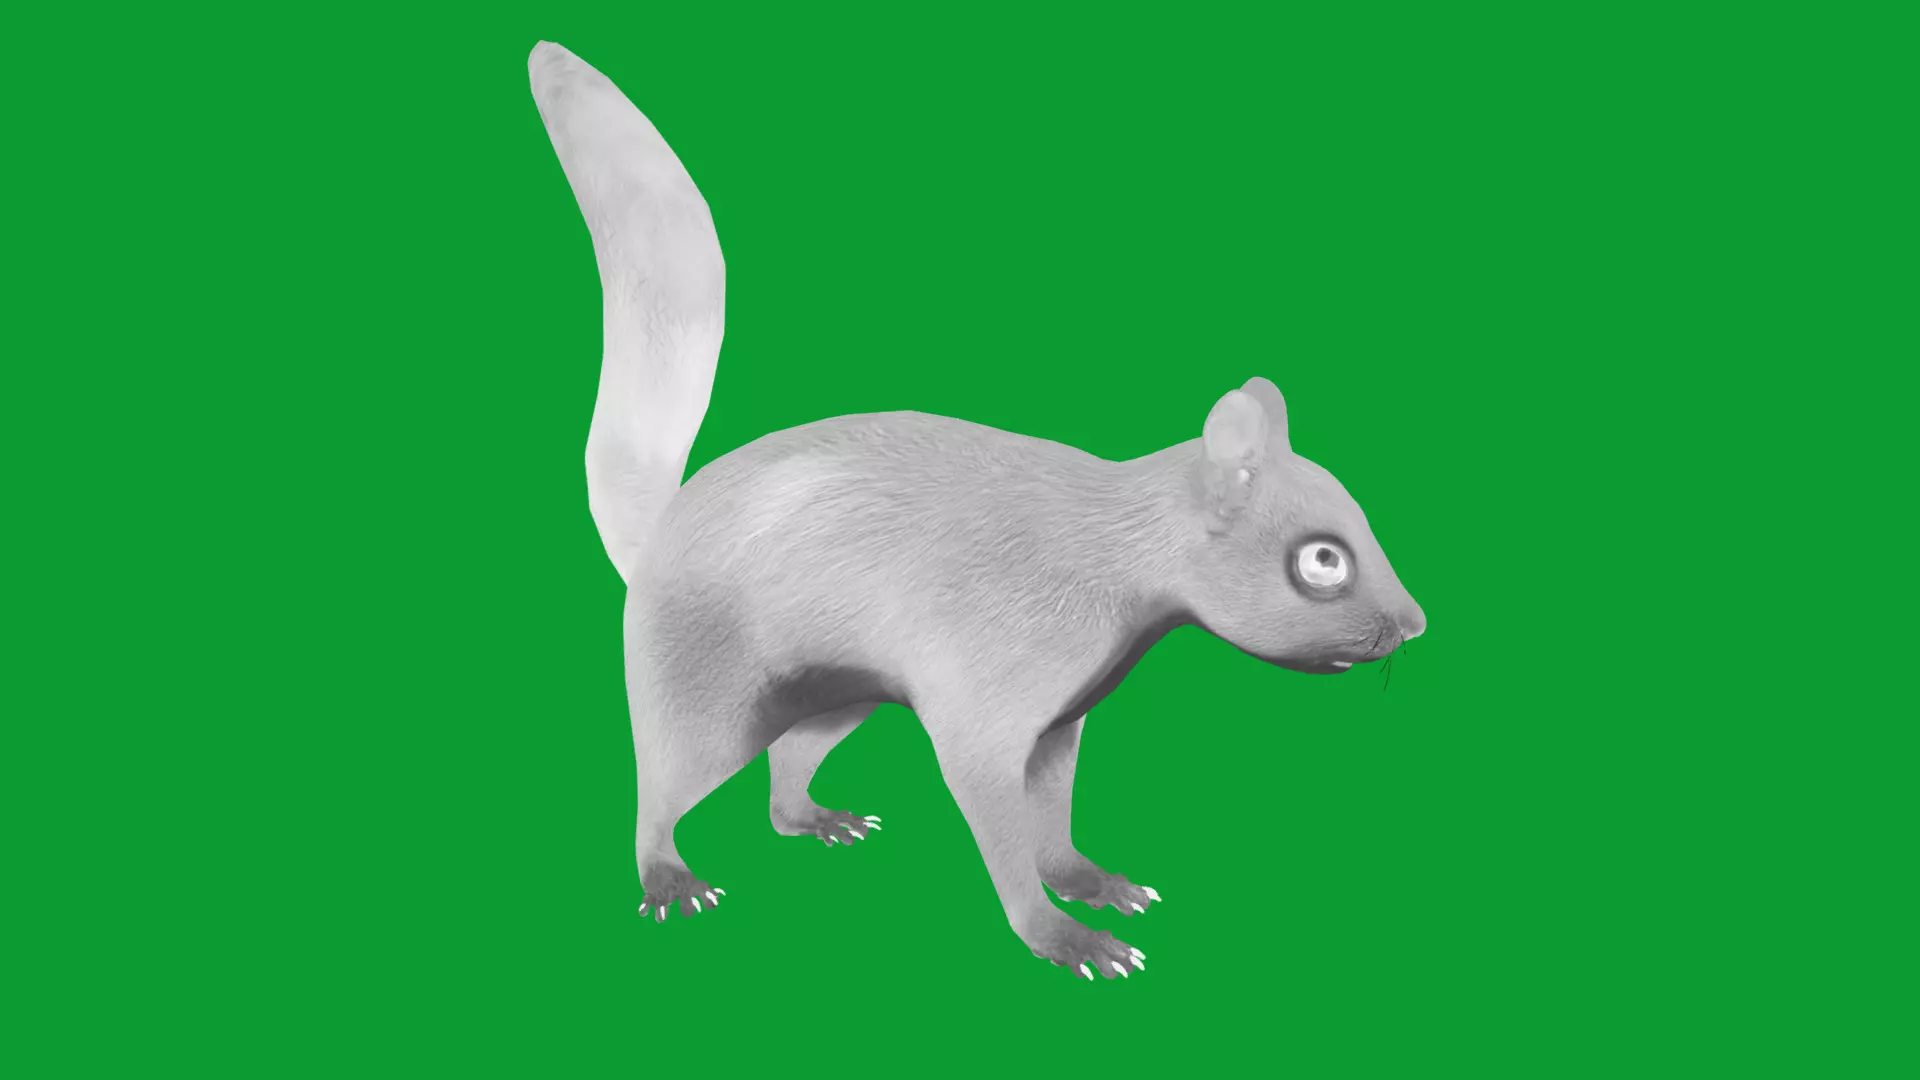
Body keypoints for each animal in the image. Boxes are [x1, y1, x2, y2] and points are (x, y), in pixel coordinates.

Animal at [529, 41, 1426, 982]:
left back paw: (812, 817)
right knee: (668, 779)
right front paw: (1063, 936)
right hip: (706, 681)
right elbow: (994, 809)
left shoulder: (1063, 715)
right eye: (1322, 561)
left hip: (838, 687)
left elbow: (1053, 809)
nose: (1413, 625)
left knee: (790, 760)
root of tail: (665, 527)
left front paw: (1090, 881)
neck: (1123, 562)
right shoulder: (993, 683)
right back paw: (667, 873)